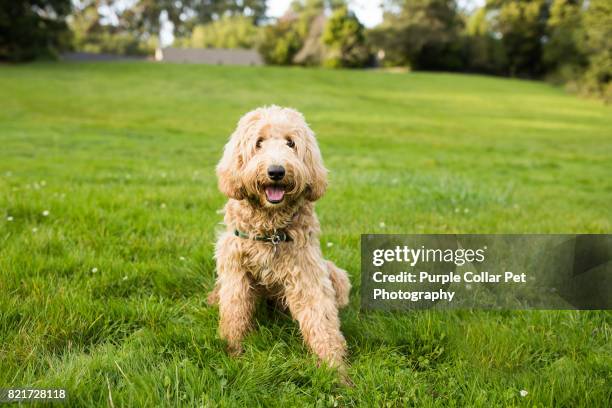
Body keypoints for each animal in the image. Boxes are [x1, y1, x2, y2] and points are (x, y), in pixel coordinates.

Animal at [209, 106, 350, 370]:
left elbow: (321, 319)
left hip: (334, 273)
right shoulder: (235, 269)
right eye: (259, 143)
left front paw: (334, 367)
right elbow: (235, 311)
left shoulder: (307, 272)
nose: (276, 171)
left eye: (291, 143)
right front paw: (234, 350)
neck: (271, 229)